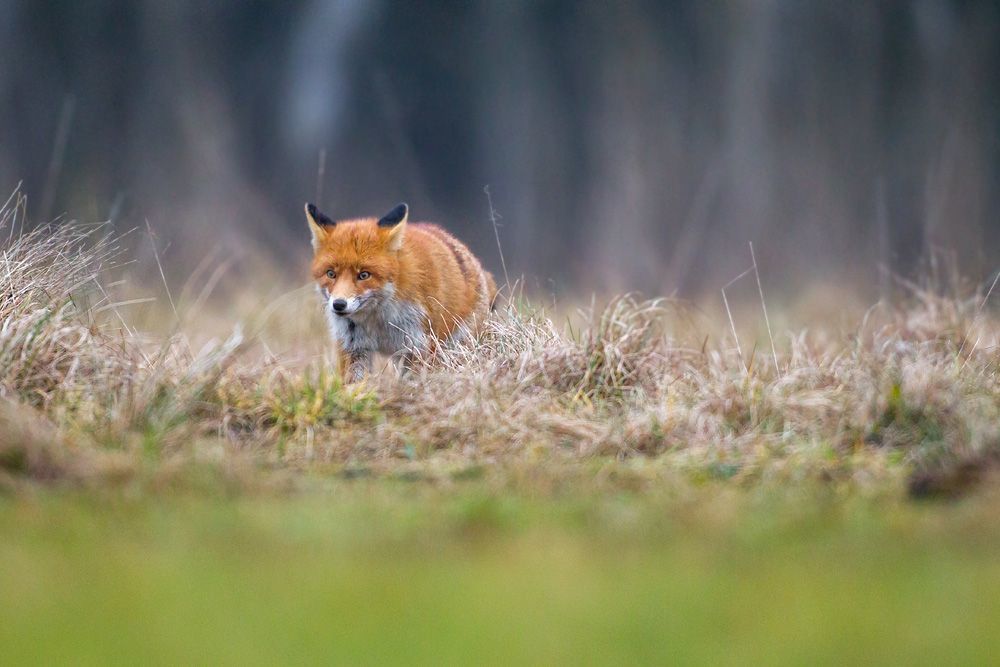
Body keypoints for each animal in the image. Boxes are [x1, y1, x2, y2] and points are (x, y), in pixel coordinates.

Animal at [305, 202, 497, 382]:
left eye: (364, 275)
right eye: (331, 274)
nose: (338, 304)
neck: (378, 320)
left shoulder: (418, 344)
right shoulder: (353, 346)